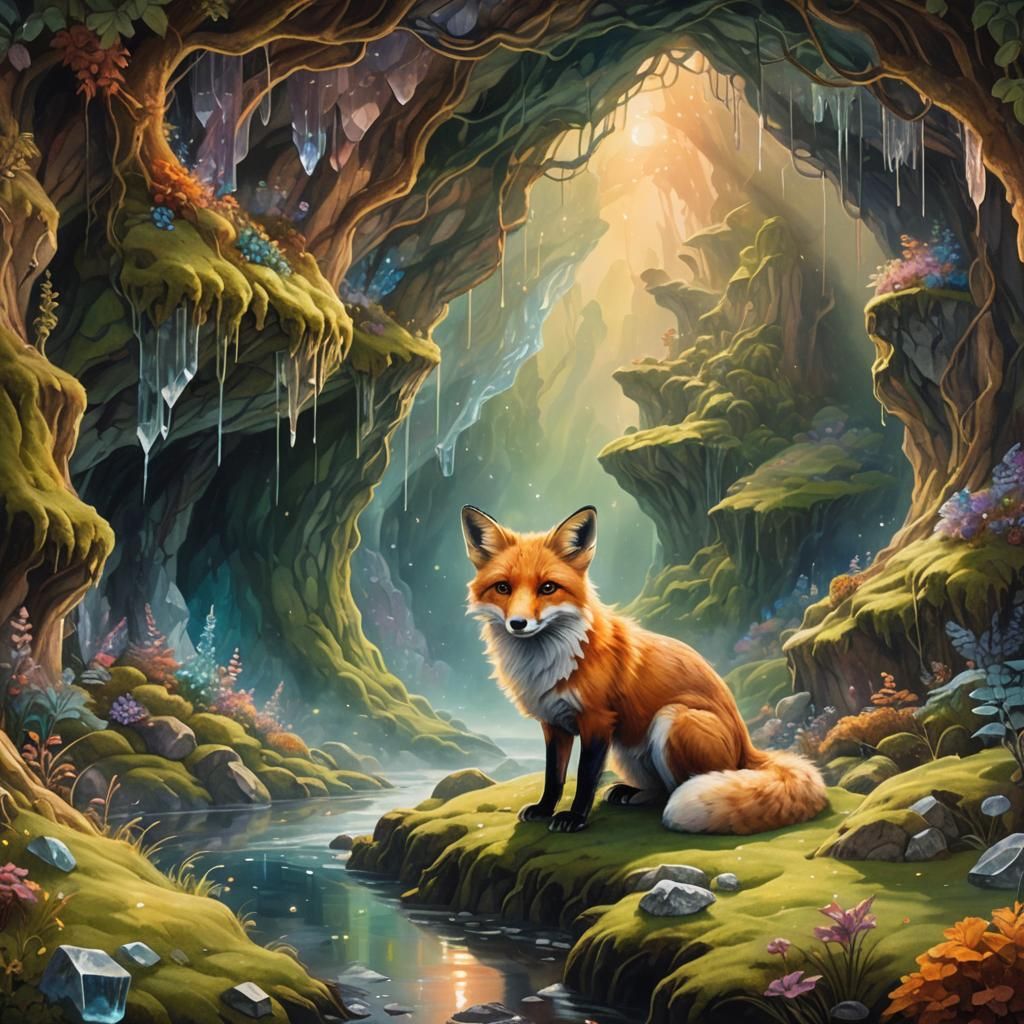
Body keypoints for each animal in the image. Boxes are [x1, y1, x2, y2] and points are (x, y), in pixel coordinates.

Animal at [461, 504, 827, 835]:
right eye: (503, 587)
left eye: (548, 587)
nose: (518, 624)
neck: (551, 661)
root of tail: (746, 744)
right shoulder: (554, 723)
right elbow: (555, 776)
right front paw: (544, 808)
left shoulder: (597, 721)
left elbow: (584, 778)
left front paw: (575, 818)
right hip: (626, 749)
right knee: (661, 789)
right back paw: (632, 793)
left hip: (672, 719)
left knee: (680, 789)